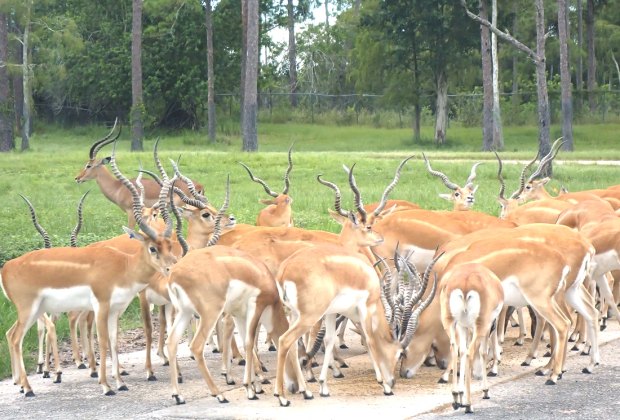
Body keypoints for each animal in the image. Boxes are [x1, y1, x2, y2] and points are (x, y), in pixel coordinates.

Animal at [438, 262, 506, 414]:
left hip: (449, 323)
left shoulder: (463, 326)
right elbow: (483, 353)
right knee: (470, 353)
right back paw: (469, 405)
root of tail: (465, 283)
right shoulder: (486, 328)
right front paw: (486, 391)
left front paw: (460, 394)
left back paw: (455, 398)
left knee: (455, 350)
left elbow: (462, 351)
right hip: (480, 326)